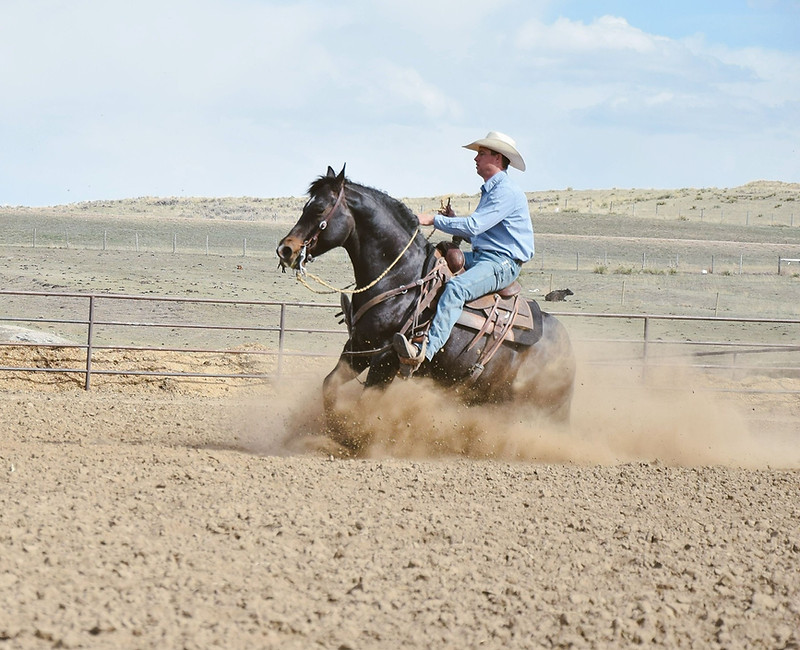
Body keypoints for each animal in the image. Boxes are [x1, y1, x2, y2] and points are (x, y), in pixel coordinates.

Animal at [276, 166, 575, 441]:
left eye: (319, 209)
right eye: (306, 206)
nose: (285, 249)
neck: (400, 278)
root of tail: (567, 350)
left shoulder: (386, 358)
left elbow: (365, 404)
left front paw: (353, 438)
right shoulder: (359, 347)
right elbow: (329, 386)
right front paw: (335, 431)